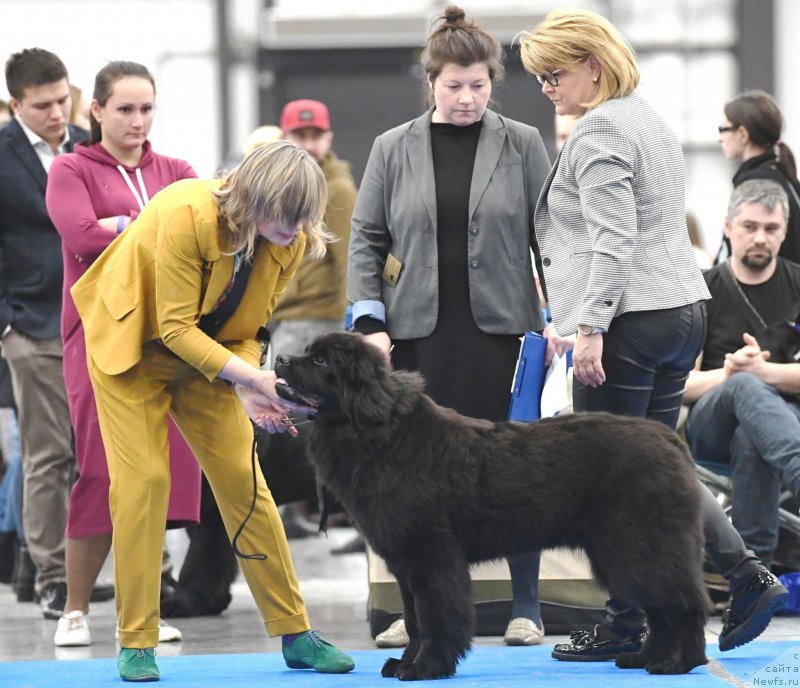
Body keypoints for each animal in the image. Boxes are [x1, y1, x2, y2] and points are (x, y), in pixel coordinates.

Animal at [276, 332, 708, 676]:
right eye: (308, 352)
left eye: (320, 361)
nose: (279, 359)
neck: (380, 432)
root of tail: (670, 440)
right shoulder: (406, 563)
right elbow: (414, 620)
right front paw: (405, 663)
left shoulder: (430, 557)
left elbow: (434, 617)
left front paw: (425, 668)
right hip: (624, 554)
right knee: (661, 609)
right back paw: (645, 659)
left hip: (639, 548)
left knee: (684, 604)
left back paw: (678, 663)